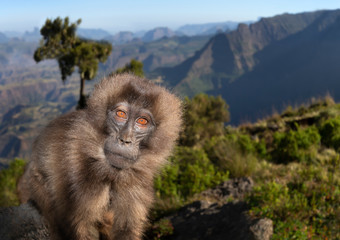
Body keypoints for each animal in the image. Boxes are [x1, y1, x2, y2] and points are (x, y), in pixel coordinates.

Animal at [17, 74, 183, 239]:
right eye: (121, 114)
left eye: (142, 121)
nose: (125, 140)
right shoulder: (76, 173)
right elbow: (81, 227)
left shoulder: (136, 180)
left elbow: (126, 229)